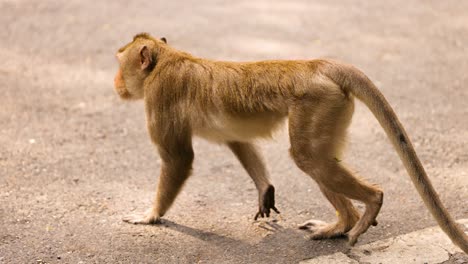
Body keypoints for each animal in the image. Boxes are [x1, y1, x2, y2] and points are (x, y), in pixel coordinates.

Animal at [114, 33, 468, 254]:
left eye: (119, 65)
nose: (116, 82)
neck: (165, 60)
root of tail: (315, 64)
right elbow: (236, 139)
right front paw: (264, 189)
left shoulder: (159, 96)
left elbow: (178, 158)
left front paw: (150, 215)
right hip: (331, 107)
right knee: (317, 160)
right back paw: (343, 223)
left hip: (319, 104)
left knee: (308, 158)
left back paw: (370, 205)